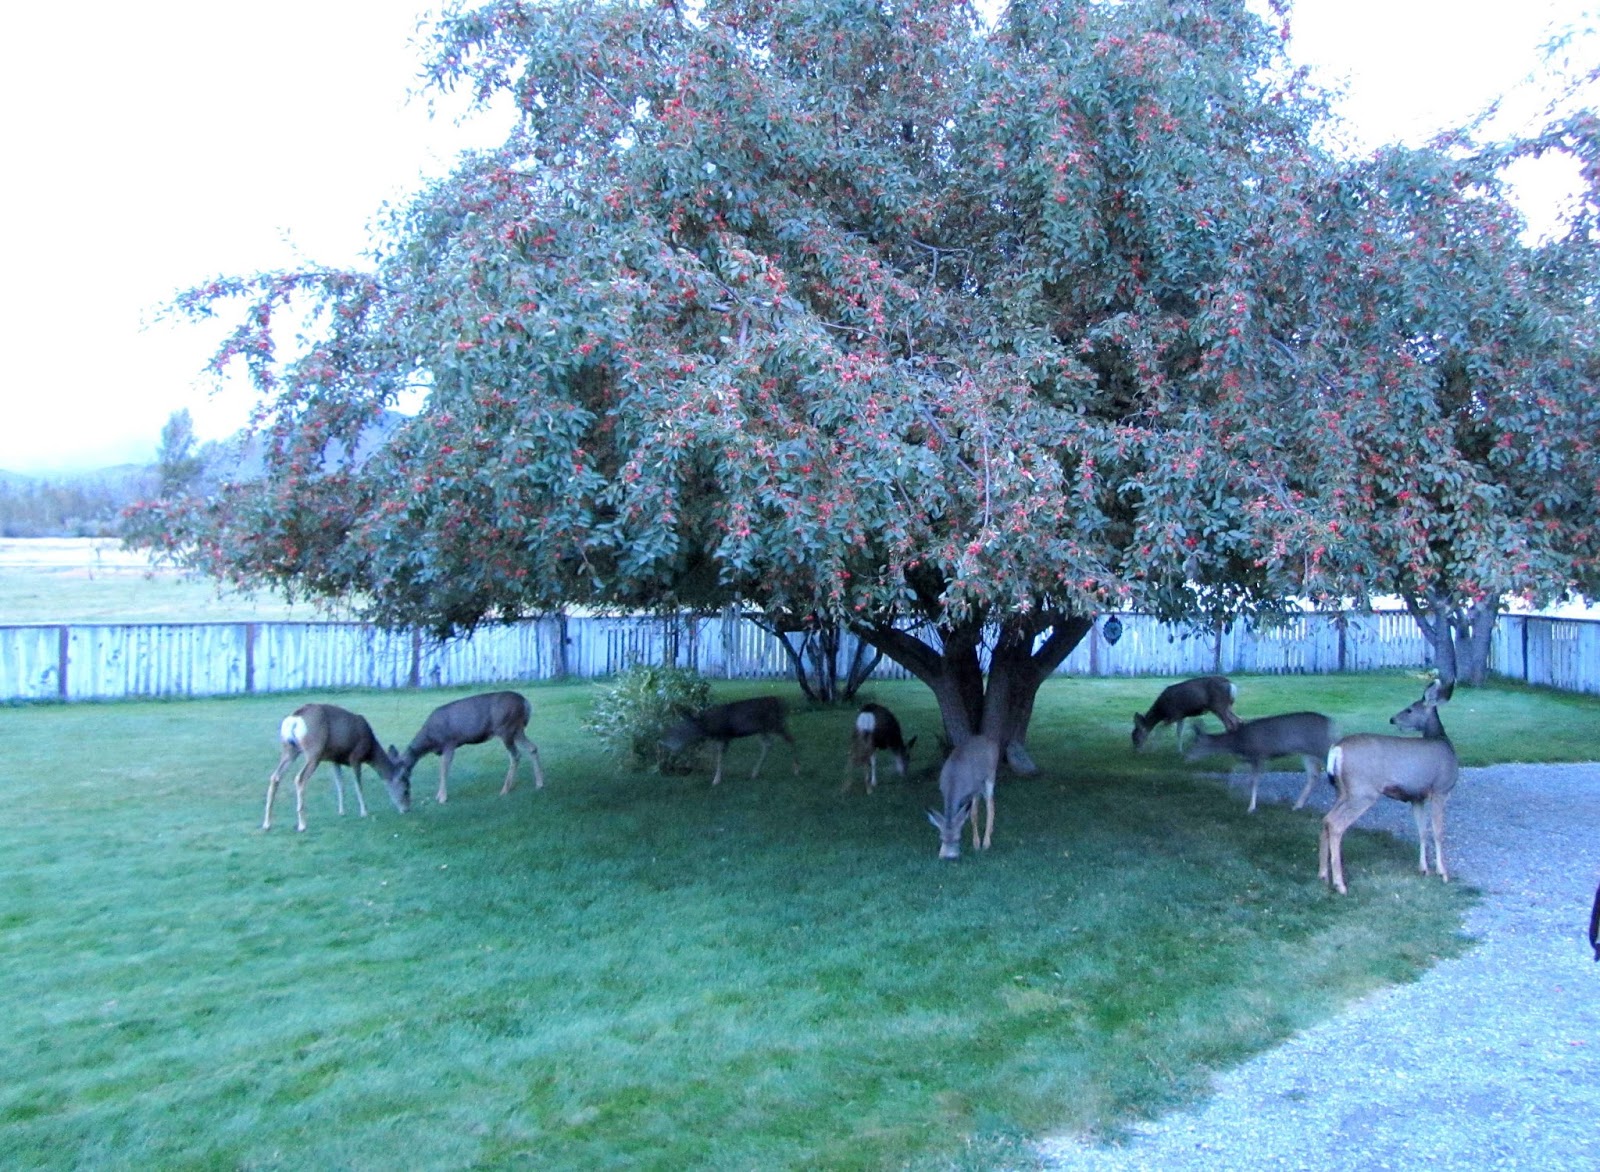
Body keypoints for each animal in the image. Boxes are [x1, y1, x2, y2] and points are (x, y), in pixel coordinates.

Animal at [264, 703, 408, 833]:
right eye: (406, 789)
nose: (406, 809)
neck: (370, 750)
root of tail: (295, 718)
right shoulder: (356, 757)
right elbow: (358, 786)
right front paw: (364, 812)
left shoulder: (335, 760)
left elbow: (340, 785)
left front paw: (341, 811)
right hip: (314, 751)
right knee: (300, 778)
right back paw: (302, 825)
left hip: (289, 749)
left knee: (275, 776)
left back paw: (267, 824)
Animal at [395, 691, 544, 805]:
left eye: (401, 774)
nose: (401, 791)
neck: (430, 740)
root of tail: (526, 703)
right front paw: (439, 795)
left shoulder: (449, 743)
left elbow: (443, 769)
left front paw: (442, 798)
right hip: (517, 730)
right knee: (532, 748)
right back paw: (539, 784)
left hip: (506, 728)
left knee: (515, 755)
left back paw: (505, 790)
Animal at [660, 696, 800, 786]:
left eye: (679, 731)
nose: (664, 742)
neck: (708, 726)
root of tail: (784, 704)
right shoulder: (721, 738)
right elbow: (719, 756)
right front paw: (717, 778)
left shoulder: (724, 736)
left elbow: (720, 757)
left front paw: (716, 780)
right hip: (762, 729)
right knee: (768, 745)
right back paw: (754, 773)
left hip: (775, 724)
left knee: (791, 739)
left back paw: (796, 769)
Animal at [1184, 711, 1337, 813]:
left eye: (1195, 744)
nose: (1186, 756)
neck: (1238, 742)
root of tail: (1330, 722)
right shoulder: (1250, 758)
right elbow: (1239, 771)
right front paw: (1232, 790)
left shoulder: (1259, 755)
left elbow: (1254, 781)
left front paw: (1251, 807)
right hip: (1307, 752)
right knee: (1314, 774)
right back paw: (1297, 806)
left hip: (1321, 746)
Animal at [1319, 681, 1458, 895]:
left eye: (1409, 709)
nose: (1392, 719)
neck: (1442, 740)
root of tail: (1336, 748)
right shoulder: (1440, 790)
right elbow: (1438, 832)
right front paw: (1443, 873)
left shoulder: (1416, 797)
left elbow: (1422, 830)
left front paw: (1424, 869)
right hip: (1363, 792)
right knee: (1335, 824)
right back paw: (1340, 884)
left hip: (1342, 791)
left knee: (1326, 819)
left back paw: (1323, 875)